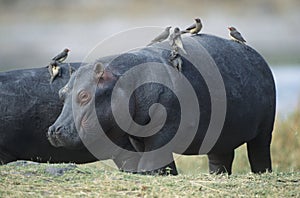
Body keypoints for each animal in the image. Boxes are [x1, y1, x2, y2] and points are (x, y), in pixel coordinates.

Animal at [48, 34, 276, 175]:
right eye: (61, 93)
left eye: (84, 95)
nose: (53, 130)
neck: (124, 79)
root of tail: (261, 58)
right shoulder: (137, 137)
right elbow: (156, 161)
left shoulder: (164, 130)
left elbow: (151, 160)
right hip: (221, 135)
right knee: (220, 158)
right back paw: (216, 176)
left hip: (265, 129)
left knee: (259, 152)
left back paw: (263, 173)